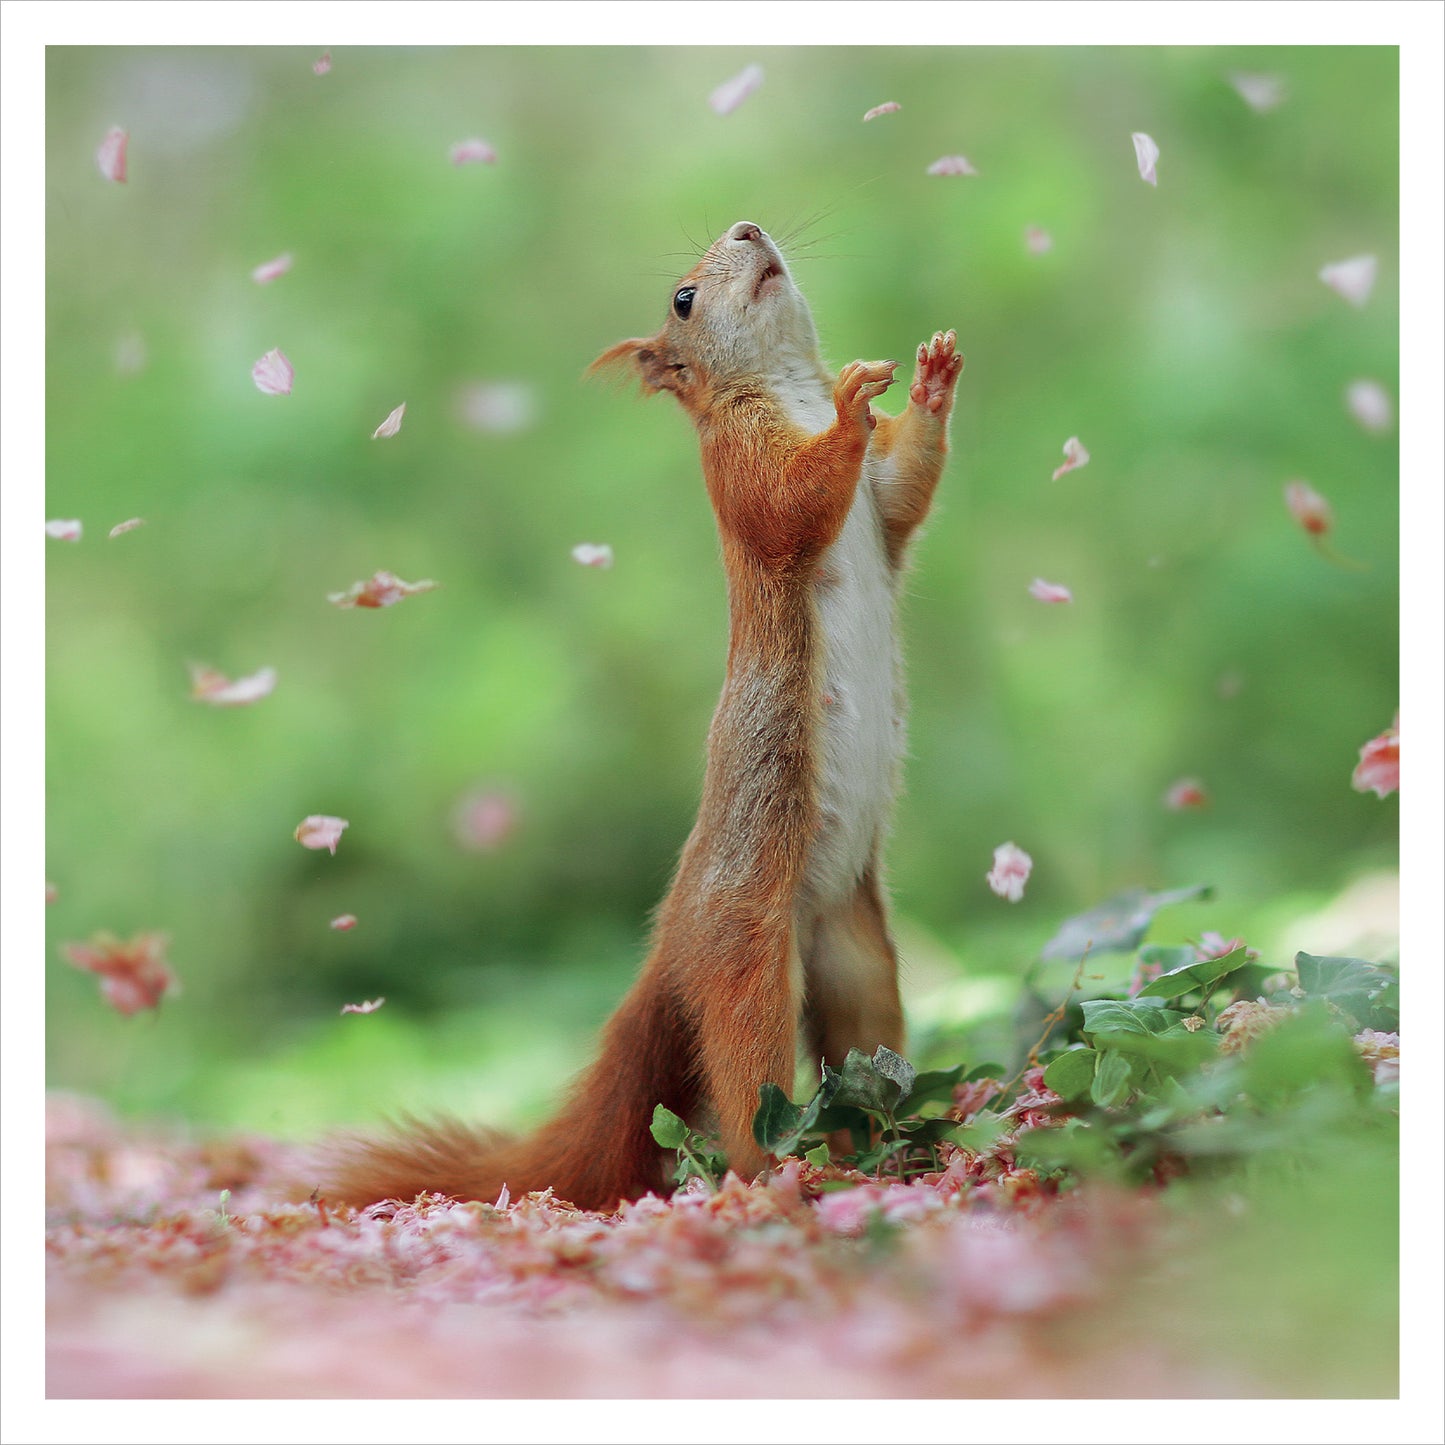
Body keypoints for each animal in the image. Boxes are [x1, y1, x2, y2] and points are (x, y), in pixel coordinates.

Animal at [321, 220, 962, 1212]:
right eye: (682, 300)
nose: (748, 228)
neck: (785, 384)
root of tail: (673, 943)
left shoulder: (883, 500)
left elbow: (903, 485)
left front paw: (930, 379)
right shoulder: (738, 469)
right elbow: (788, 503)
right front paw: (854, 401)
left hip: (860, 965)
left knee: (858, 1054)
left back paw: (889, 1148)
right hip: (746, 959)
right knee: (746, 1086)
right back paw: (788, 1171)